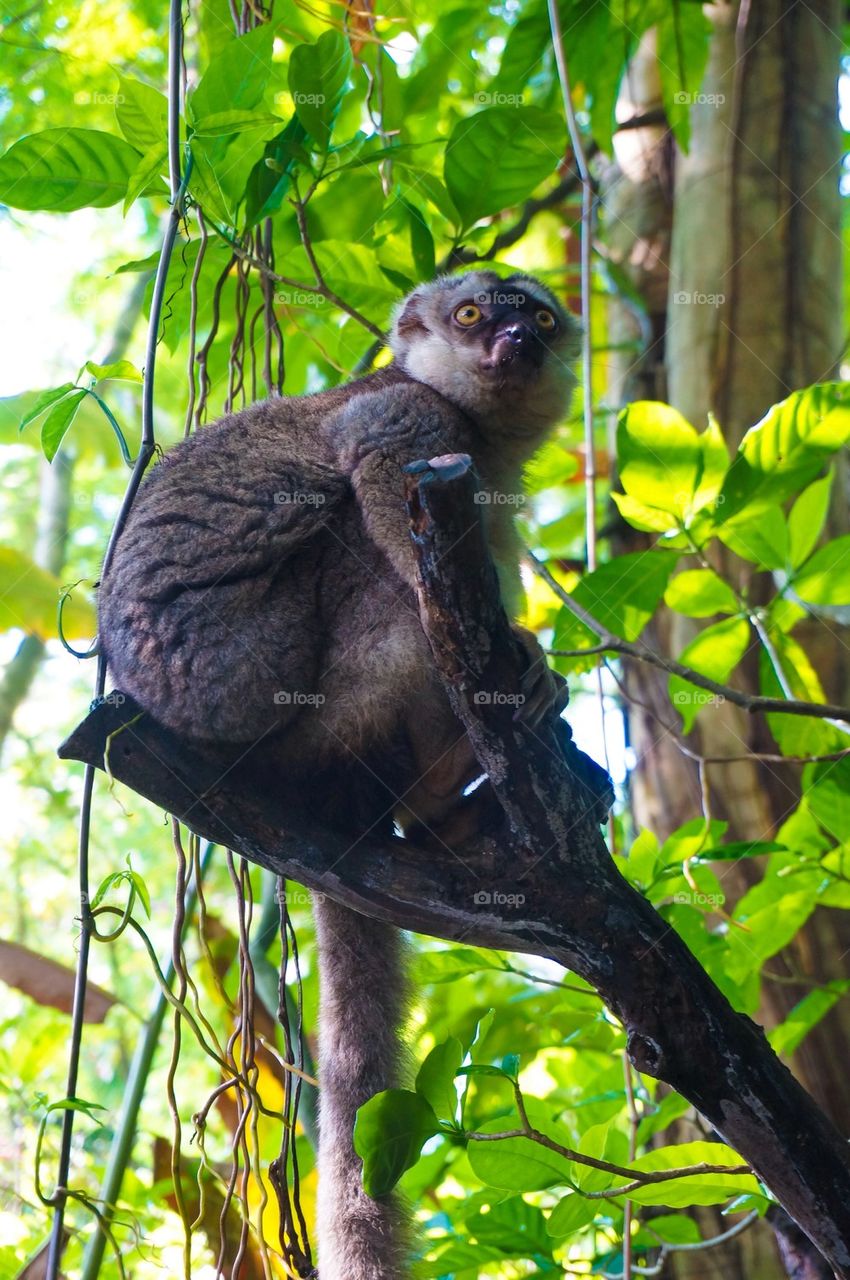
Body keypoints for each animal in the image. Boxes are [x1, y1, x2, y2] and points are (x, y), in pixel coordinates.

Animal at [97, 269, 600, 1279]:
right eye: (473, 315)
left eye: (539, 317)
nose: (517, 343)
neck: (477, 423)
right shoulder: (410, 420)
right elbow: (380, 486)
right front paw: (525, 665)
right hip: (278, 695)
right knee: (385, 577)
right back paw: (443, 792)